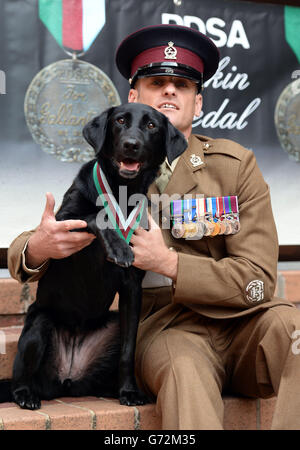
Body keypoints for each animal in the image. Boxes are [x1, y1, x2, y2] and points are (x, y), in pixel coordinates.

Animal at [8, 103, 186, 412]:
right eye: (120, 121)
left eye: (151, 125)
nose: (131, 145)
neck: (121, 191)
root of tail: (68, 379)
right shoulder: (62, 223)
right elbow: (96, 215)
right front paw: (119, 248)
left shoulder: (132, 289)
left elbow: (129, 351)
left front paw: (129, 392)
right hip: (40, 323)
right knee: (22, 375)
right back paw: (26, 394)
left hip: (114, 323)